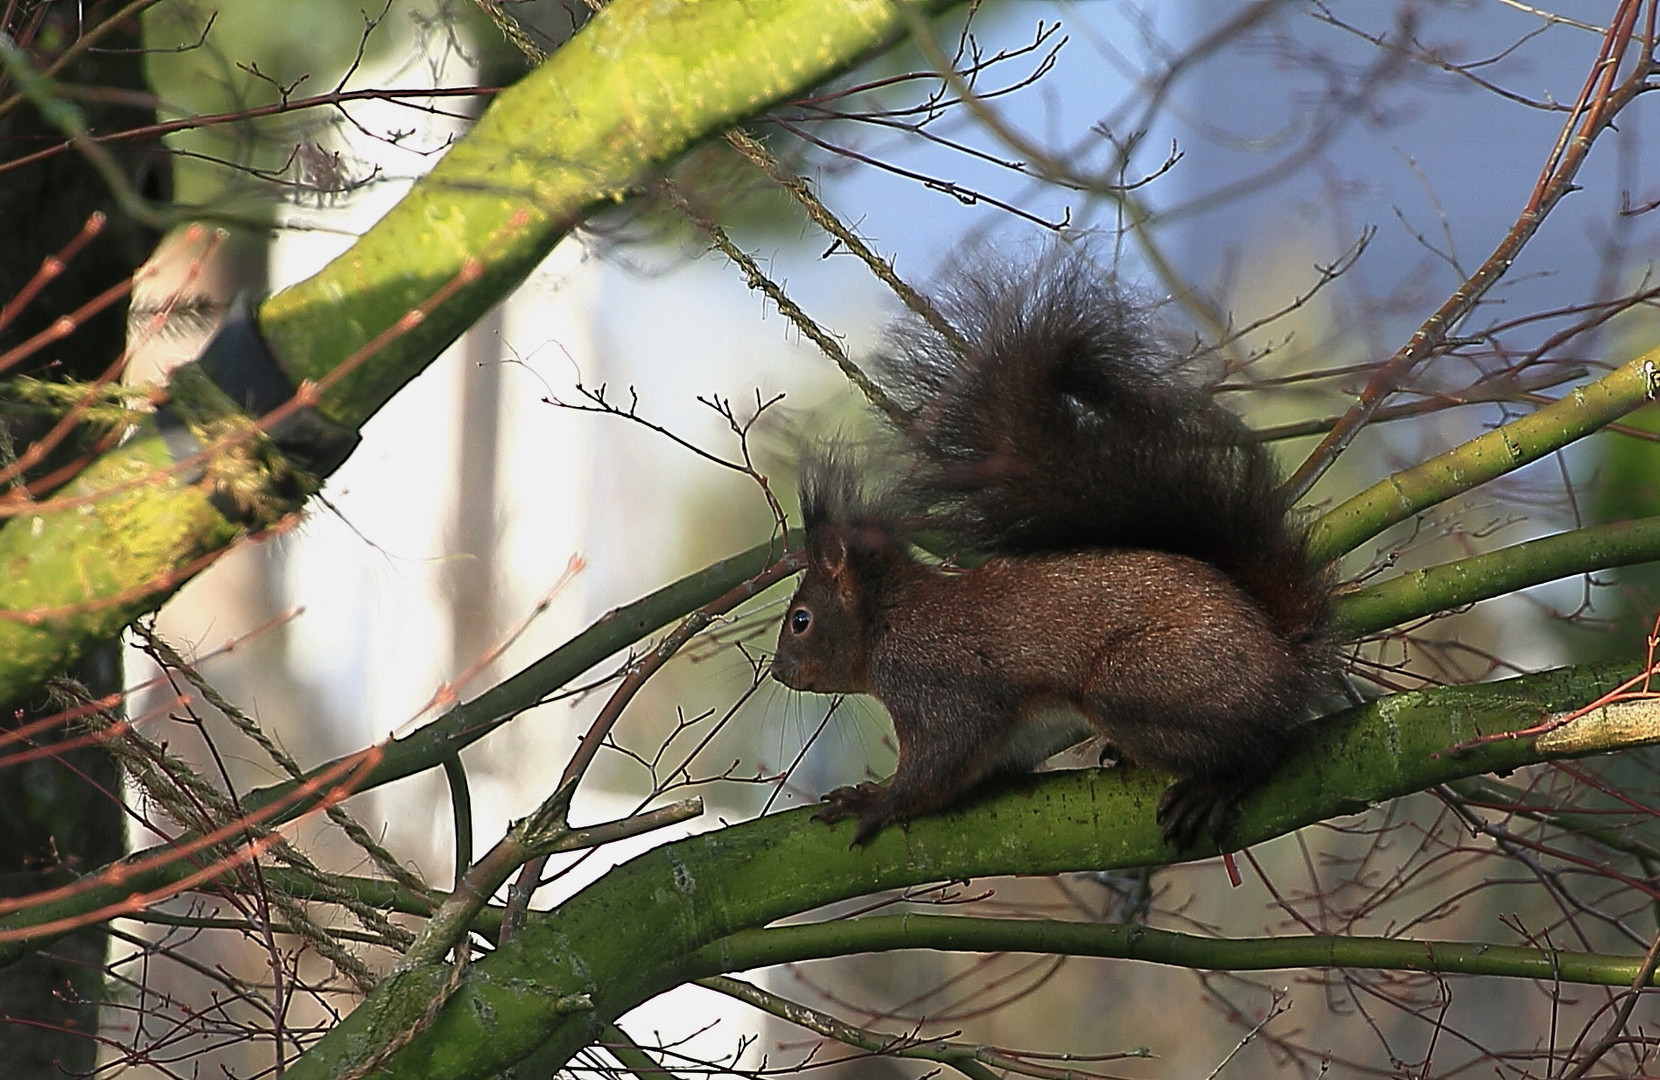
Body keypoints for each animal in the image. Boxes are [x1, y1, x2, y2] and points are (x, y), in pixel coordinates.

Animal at [766, 255, 1334, 856]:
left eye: (800, 620)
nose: (778, 671)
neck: (889, 619)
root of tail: (1286, 658)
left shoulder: (937, 682)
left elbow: (942, 759)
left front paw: (873, 801)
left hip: (1139, 685)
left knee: (1262, 747)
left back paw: (1217, 783)